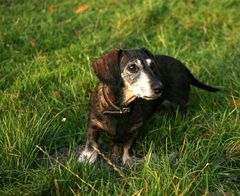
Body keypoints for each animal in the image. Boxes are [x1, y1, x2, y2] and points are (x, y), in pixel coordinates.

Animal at [78, 48, 219, 165]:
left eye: (152, 66)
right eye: (132, 67)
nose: (160, 88)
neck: (120, 110)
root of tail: (184, 67)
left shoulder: (136, 129)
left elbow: (129, 145)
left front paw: (128, 159)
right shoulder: (93, 123)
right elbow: (91, 140)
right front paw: (87, 156)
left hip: (179, 102)